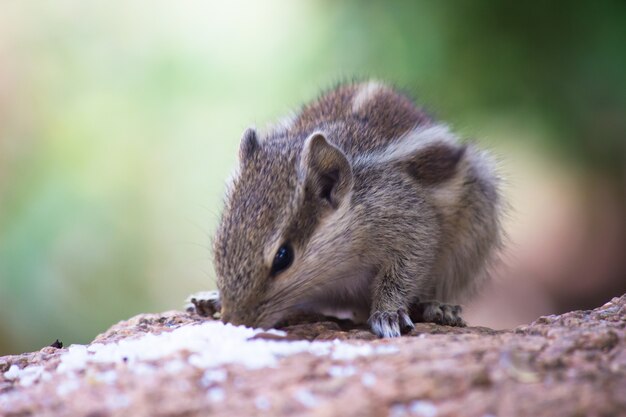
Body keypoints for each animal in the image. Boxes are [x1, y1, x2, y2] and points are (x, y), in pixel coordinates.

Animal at [188, 79, 500, 336]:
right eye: (219, 245)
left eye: (283, 258)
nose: (234, 322)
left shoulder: (406, 216)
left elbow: (406, 266)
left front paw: (387, 314)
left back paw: (438, 306)